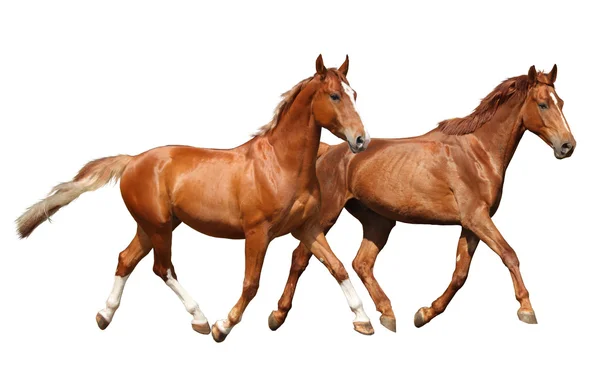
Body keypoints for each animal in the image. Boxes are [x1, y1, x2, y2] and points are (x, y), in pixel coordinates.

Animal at [16, 55, 376, 340]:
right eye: (334, 95)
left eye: (355, 94)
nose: (361, 140)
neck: (280, 165)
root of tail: (132, 161)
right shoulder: (257, 233)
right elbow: (251, 283)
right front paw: (223, 326)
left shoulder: (307, 228)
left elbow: (337, 267)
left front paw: (364, 321)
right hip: (159, 227)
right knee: (162, 268)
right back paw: (200, 319)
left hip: (152, 226)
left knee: (126, 259)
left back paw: (105, 316)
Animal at [268, 64, 576, 332]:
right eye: (543, 104)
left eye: (560, 102)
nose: (567, 146)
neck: (478, 151)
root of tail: (328, 151)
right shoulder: (477, 218)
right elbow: (509, 254)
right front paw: (526, 309)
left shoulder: (471, 224)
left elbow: (460, 274)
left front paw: (425, 314)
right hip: (326, 215)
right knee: (301, 257)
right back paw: (279, 315)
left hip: (379, 222)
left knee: (361, 263)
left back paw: (387, 314)